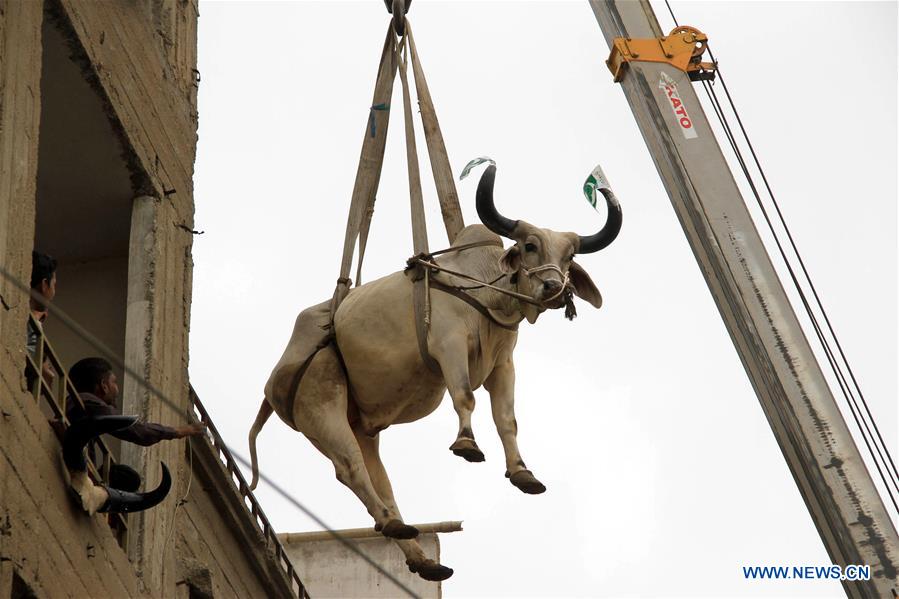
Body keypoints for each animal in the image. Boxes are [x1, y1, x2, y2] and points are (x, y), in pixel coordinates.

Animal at [250, 166, 624, 584]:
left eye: (570, 255)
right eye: (529, 245)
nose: (555, 288)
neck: (485, 290)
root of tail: (274, 381)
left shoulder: (503, 365)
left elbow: (506, 419)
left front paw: (522, 472)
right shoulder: (449, 346)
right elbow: (464, 397)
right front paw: (467, 444)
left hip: (361, 426)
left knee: (378, 480)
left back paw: (417, 553)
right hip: (319, 405)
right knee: (350, 469)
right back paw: (395, 527)